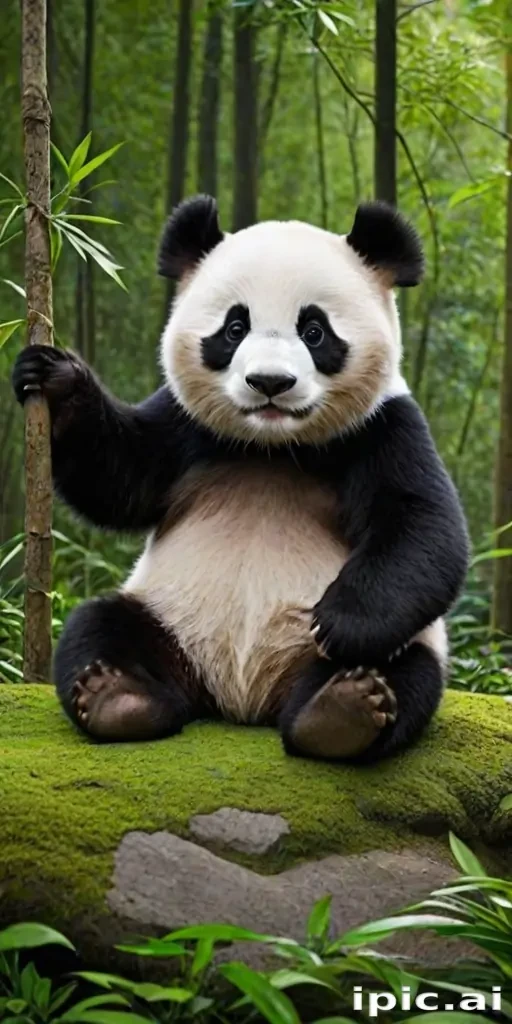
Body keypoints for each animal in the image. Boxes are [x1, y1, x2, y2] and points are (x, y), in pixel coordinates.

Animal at [12, 196, 469, 762]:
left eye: (314, 331)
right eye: (234, 329)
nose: (270, 382)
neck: (271, 448)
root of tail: (245, 701)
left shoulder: (385, 426)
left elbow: (424, 527)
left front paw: (342, 622)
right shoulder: (187, 427)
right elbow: (119, 478)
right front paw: (55, 381)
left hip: (402, 645)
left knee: (407, 669)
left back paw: (343, 709)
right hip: (167, 616)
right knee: (98, 626)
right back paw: (117, 696)